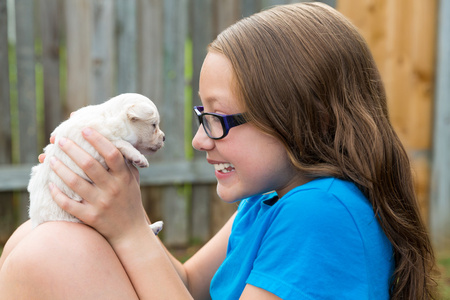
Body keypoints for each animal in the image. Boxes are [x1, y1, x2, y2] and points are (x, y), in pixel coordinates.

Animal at [28, 92, 165, 234]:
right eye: (154, 125)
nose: (164, 137)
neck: (109, 119)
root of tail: (35, 223)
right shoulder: (93, 143)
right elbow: (120, 142)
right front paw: (139, 157)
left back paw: (155, 227)